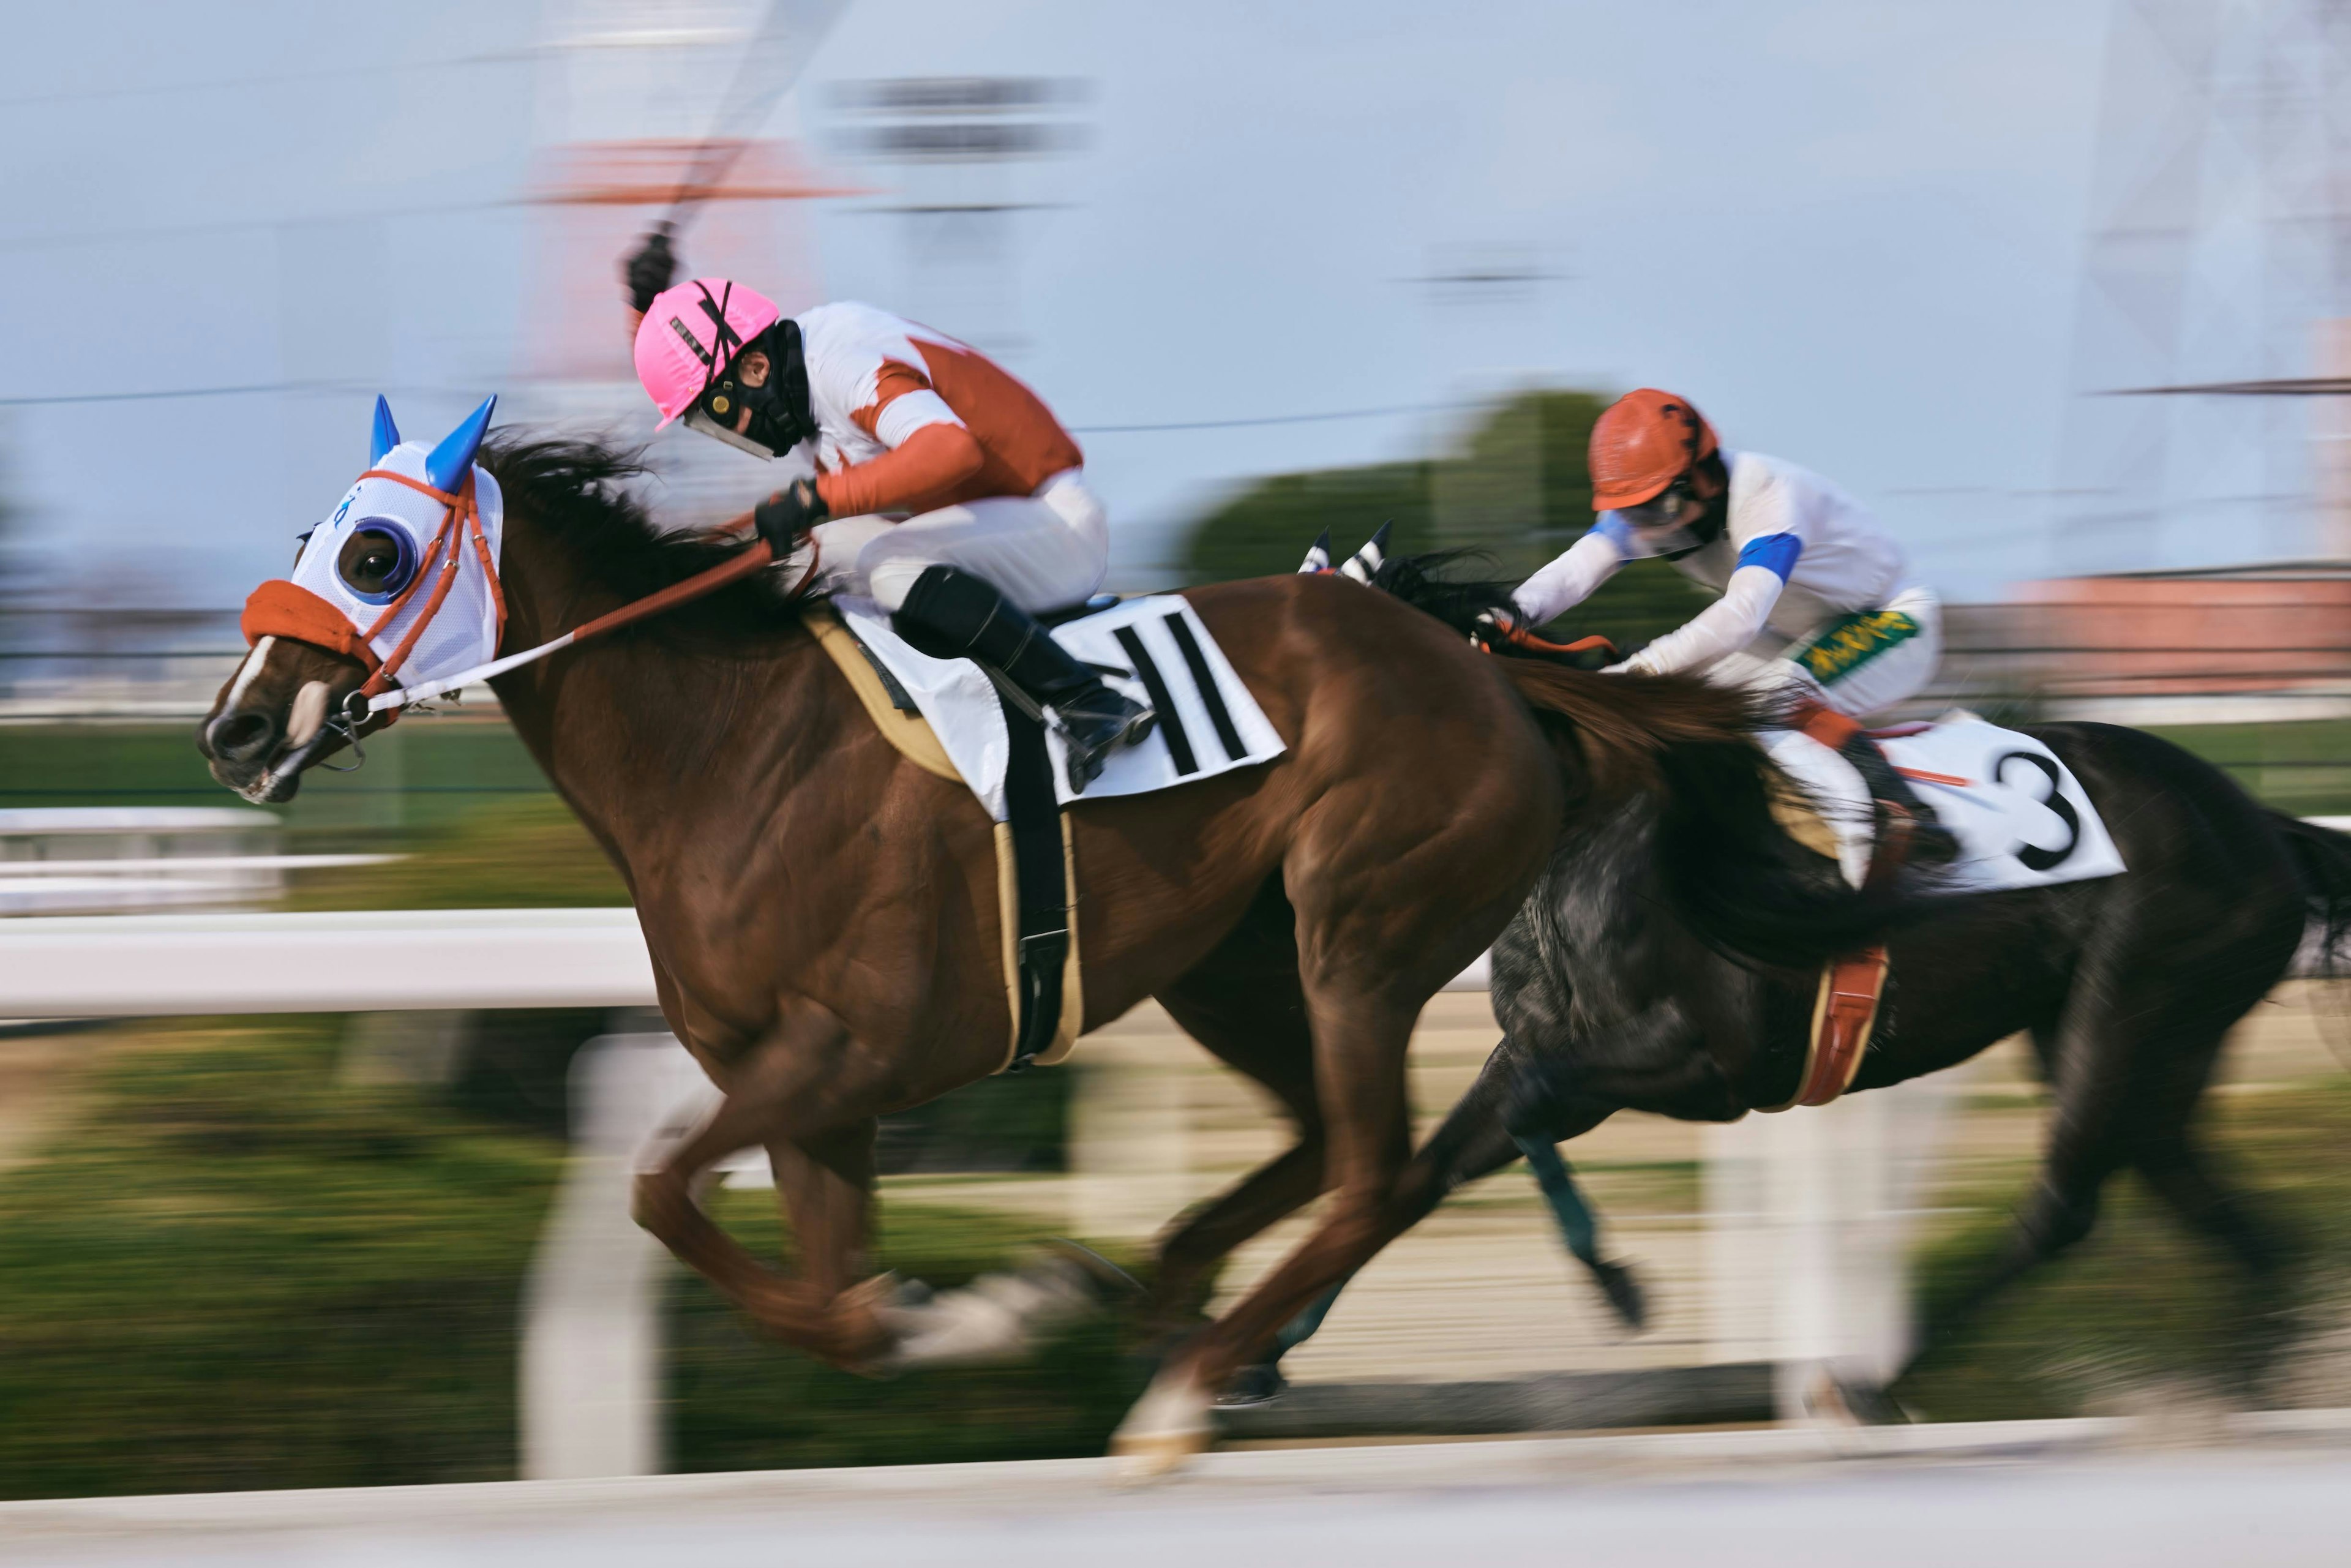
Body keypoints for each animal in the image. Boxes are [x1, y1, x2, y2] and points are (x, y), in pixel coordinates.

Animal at [197, 432, 1890, 1476]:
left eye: (371, 550)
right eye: (311, 535)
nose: (233, 727)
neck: (730, 751)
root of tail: (1481, 665)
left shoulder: (854, 1046)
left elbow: (657, 1187)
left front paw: (996, 1305)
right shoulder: (806, 1091)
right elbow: (813, 1293)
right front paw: (980, 1305)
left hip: (1358, 925)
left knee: (1371, 1166)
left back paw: (1187, 1379)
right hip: (1234, 959)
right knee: (1311, 1148)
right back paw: (1168, 1302)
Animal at [1260, 561, 2351, 1410]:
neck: (1597, 823)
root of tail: (2258, 821)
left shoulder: (1711, 1066)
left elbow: (1526, 1110)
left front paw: (1620, 1288)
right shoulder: (1549, 1047)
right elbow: (1427, 1168)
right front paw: (1263, 1353)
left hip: (2132, 999)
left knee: (2065, 1204)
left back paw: (1872, 1384)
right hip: (2146, 1034)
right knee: (2199, 1192)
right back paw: (2252, 1384)